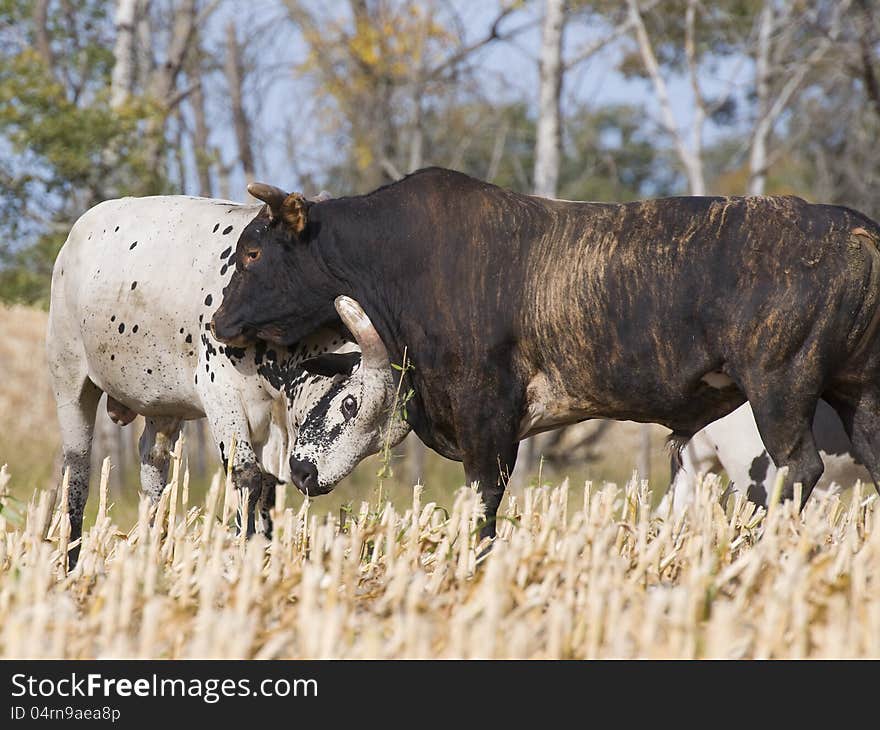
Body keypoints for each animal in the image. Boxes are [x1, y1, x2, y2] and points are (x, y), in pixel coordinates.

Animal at [47, 192, 350, 564]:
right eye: (350, 404)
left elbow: (268, 487)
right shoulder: (222, 394)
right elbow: (247, 476)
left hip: (162, 408)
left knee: (154, 467)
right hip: (71, 380)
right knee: (76, 471)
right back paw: (70, 560)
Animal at [211, 168, 880, 536]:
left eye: (253, 253)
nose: (219, 322)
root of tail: (855, 227)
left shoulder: (487, 419)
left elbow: (484, 503)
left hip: (779, 388)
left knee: (800, 471)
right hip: (859, 395)